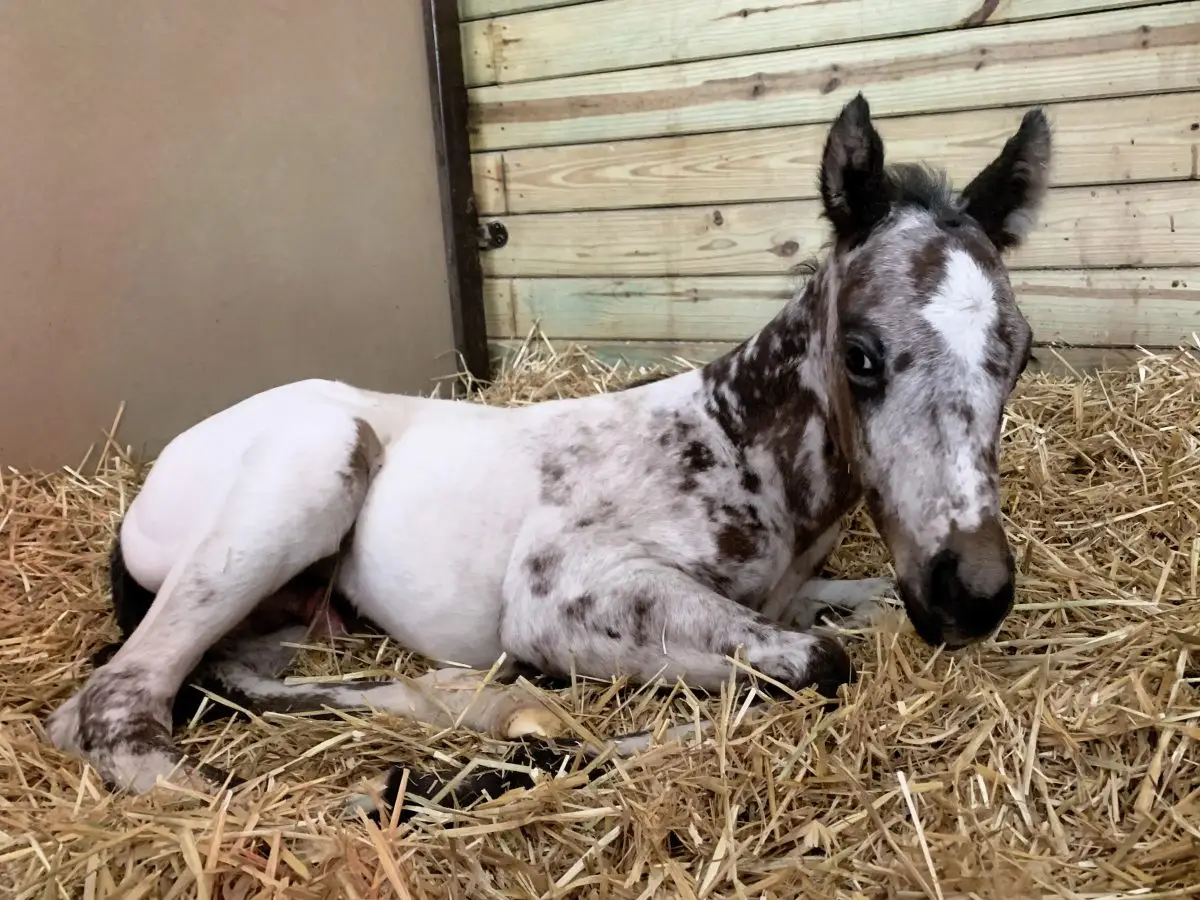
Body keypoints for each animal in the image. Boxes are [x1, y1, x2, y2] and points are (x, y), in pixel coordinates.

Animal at [46, 93, 1050, 818]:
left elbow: (856, 618)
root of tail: (149, 483)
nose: (970, 594)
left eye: (1023, 353)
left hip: (290, 613)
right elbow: (815, 667)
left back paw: (455, 703)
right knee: (113, 704)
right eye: (863, 355)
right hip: (304, 477)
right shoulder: (565, 593)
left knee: (233, 678)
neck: (735, 450)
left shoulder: (790, 594)